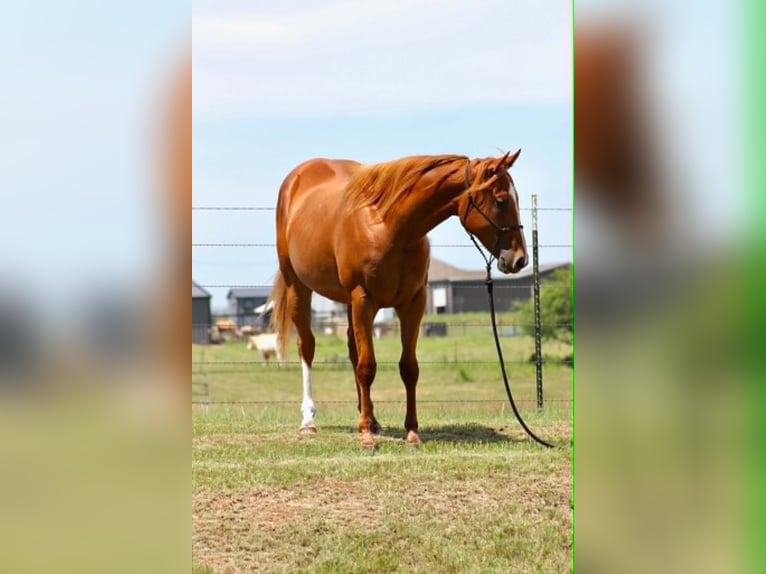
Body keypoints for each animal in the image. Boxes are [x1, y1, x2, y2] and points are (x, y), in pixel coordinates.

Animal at [269, 151, 528, 448]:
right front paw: (366, 436)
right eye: (501, 200)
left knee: (352, 350)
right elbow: (367, 367)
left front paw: (411, 431)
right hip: (298, 287)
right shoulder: (364, 300)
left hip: (346, 302)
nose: (520, 259)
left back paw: (370, 418)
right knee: (308, 347)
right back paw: (309, 422)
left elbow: (408, 368)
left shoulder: (412, 304)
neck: (390, 227)